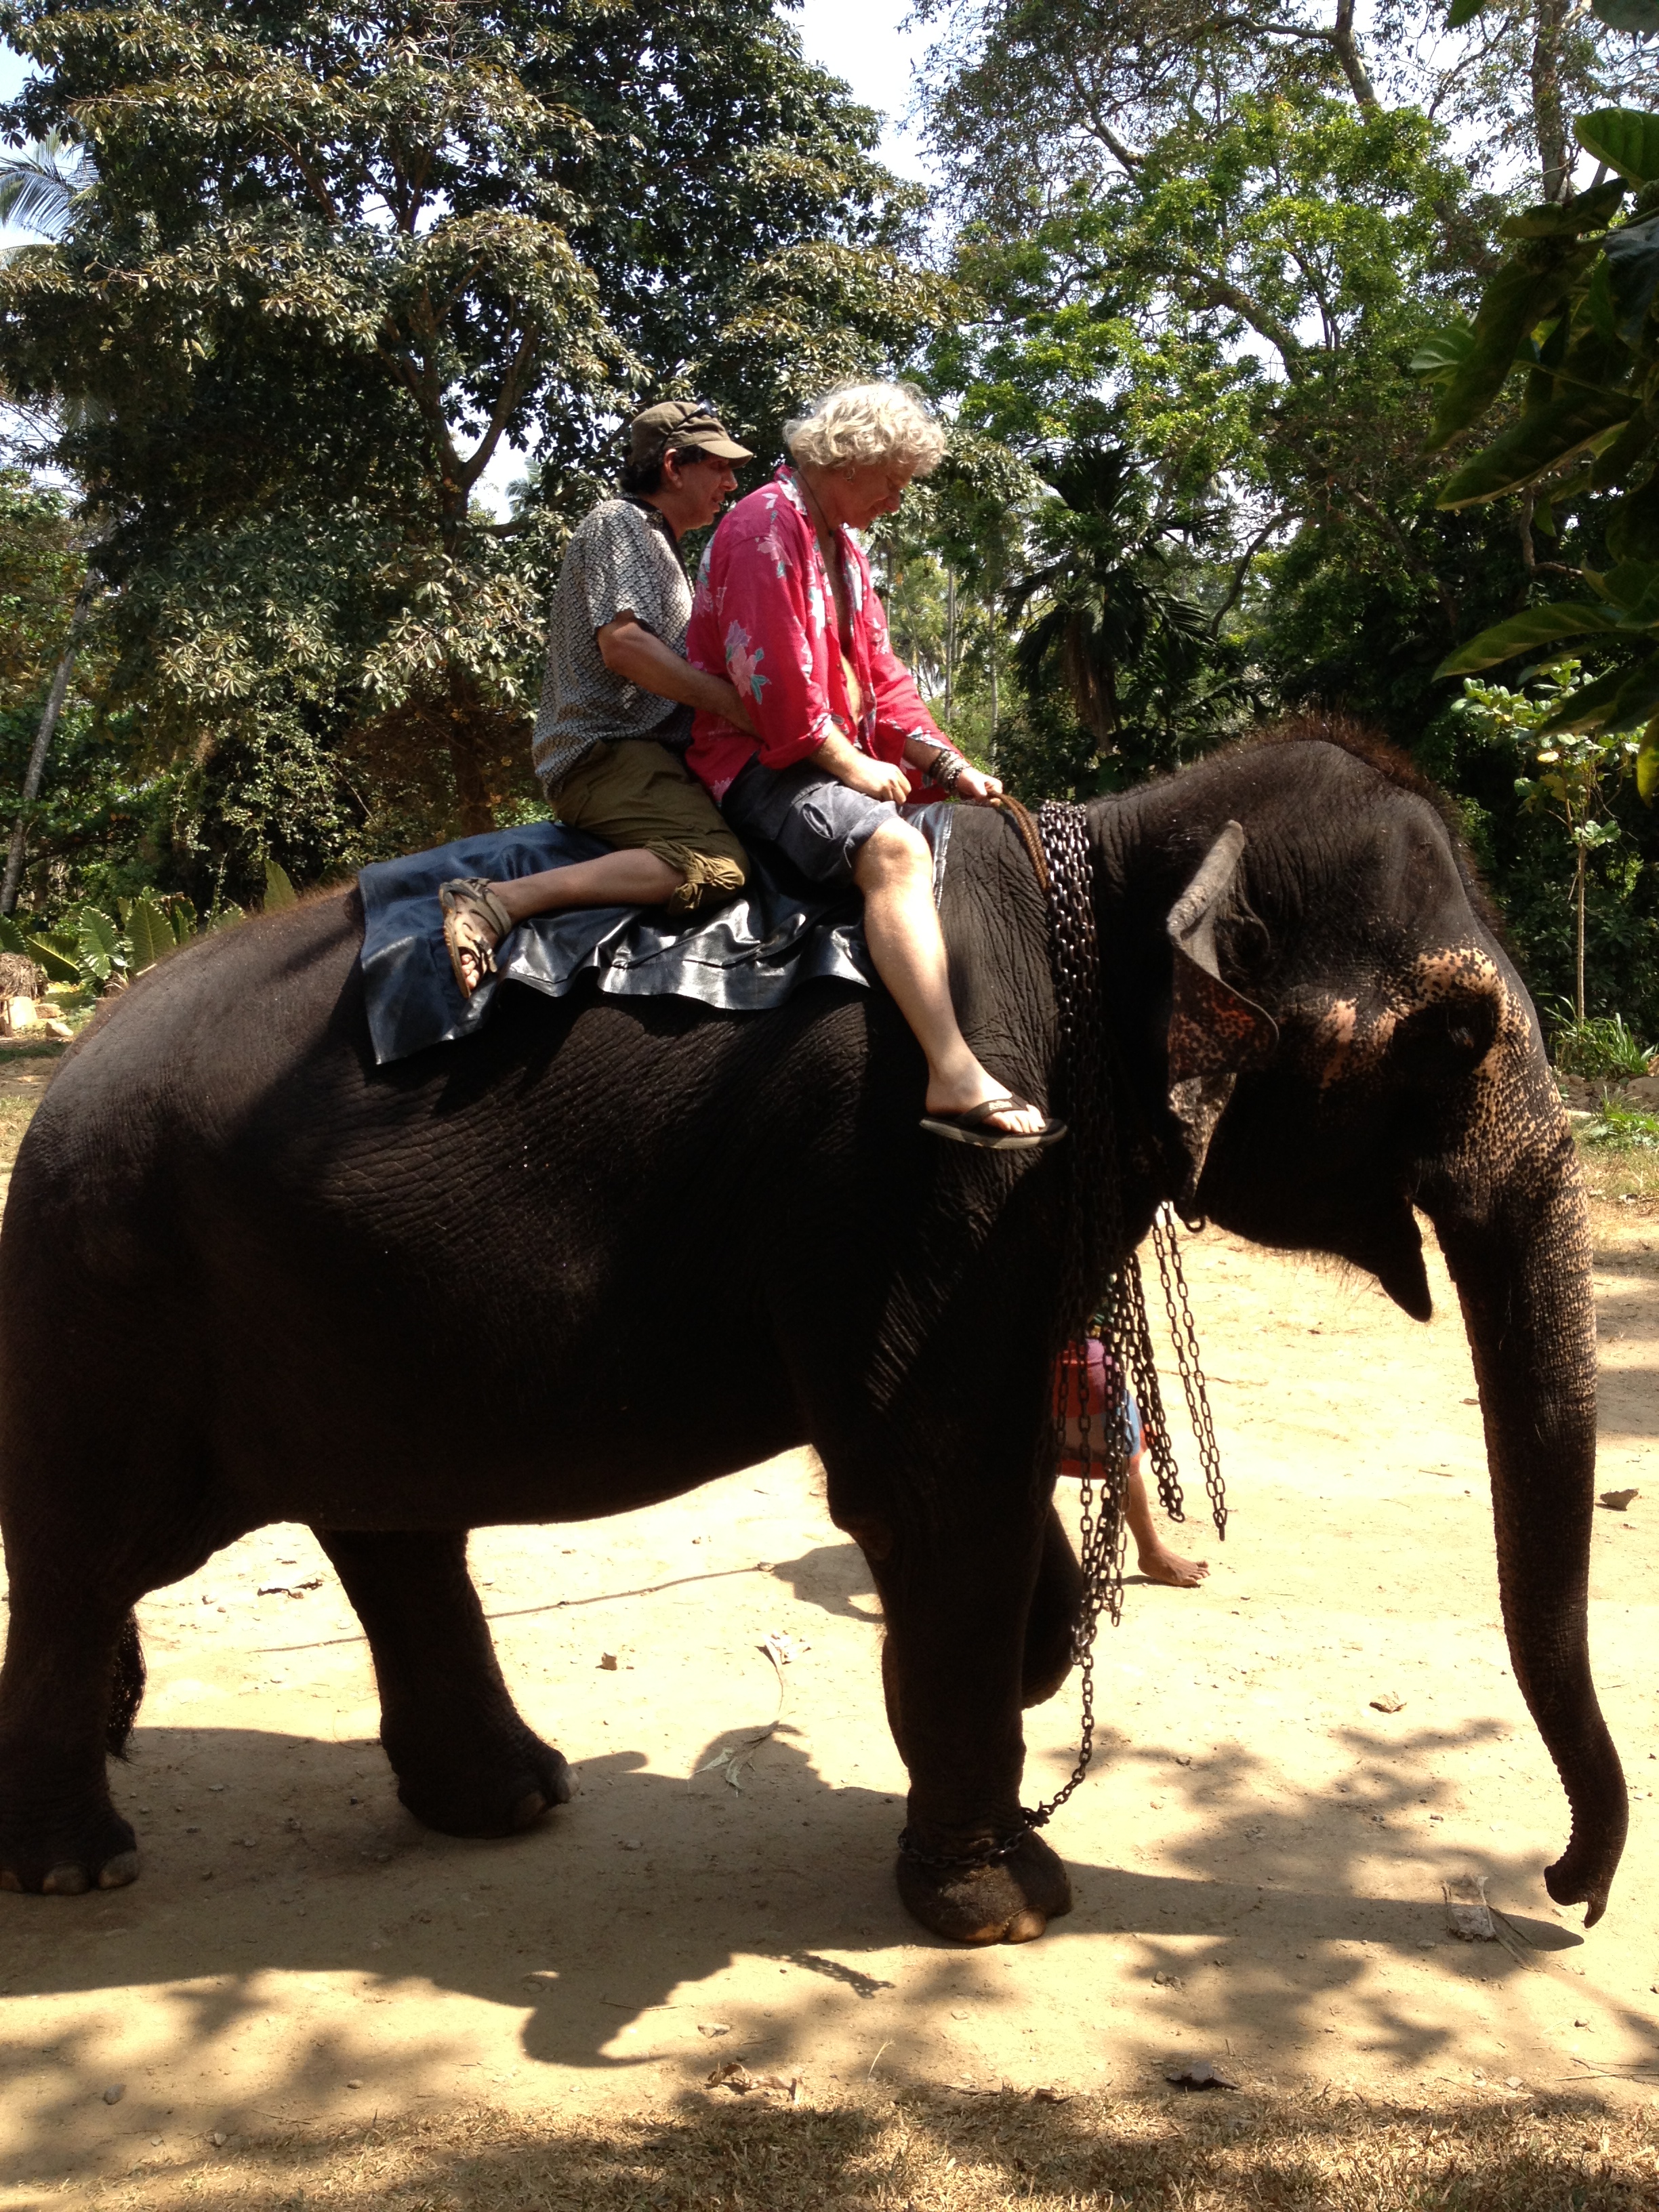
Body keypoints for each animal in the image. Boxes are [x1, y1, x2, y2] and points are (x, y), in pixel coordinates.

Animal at [0, 721, 1627, 1945]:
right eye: (1456, 1037)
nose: (1563, 1892)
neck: (1117, 848)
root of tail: (69, 1067)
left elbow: (982, 1483)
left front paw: (1034, 1670)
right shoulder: (925, 1160)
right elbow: (929, 1486)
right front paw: (1002, 1906)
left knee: (391, 1532)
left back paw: (512, 1801)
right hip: (106, 1304)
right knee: (92, 1556)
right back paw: (79, 1862)